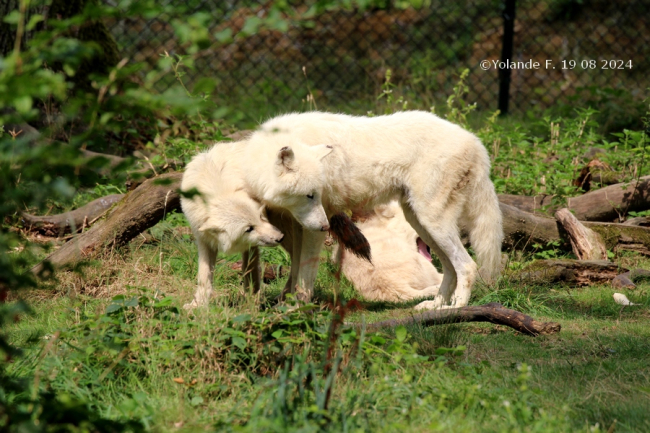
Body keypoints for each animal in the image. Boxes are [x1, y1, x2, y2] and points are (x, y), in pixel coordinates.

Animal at [181, 142, 284, 308]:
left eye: (261, 217)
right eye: (249, 229)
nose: (280, 237)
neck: (217, 188)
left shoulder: (251, 246)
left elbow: (250, 269)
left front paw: (253, 299)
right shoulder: (203, 239)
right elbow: (203, 275)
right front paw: (198, 304)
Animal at [237, 109, 502, 308]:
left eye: (317, 194)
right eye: (308, 196)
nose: (326, 225)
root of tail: (476, 142)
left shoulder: (313, 229)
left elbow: (304, 273)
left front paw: (297, 307)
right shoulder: (297, 224)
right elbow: (294, 269)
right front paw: (284, 302)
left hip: (433, 222)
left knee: (467, 266)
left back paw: (456, 307)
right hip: (421, 223)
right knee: (449, 268)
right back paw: (435, 305)